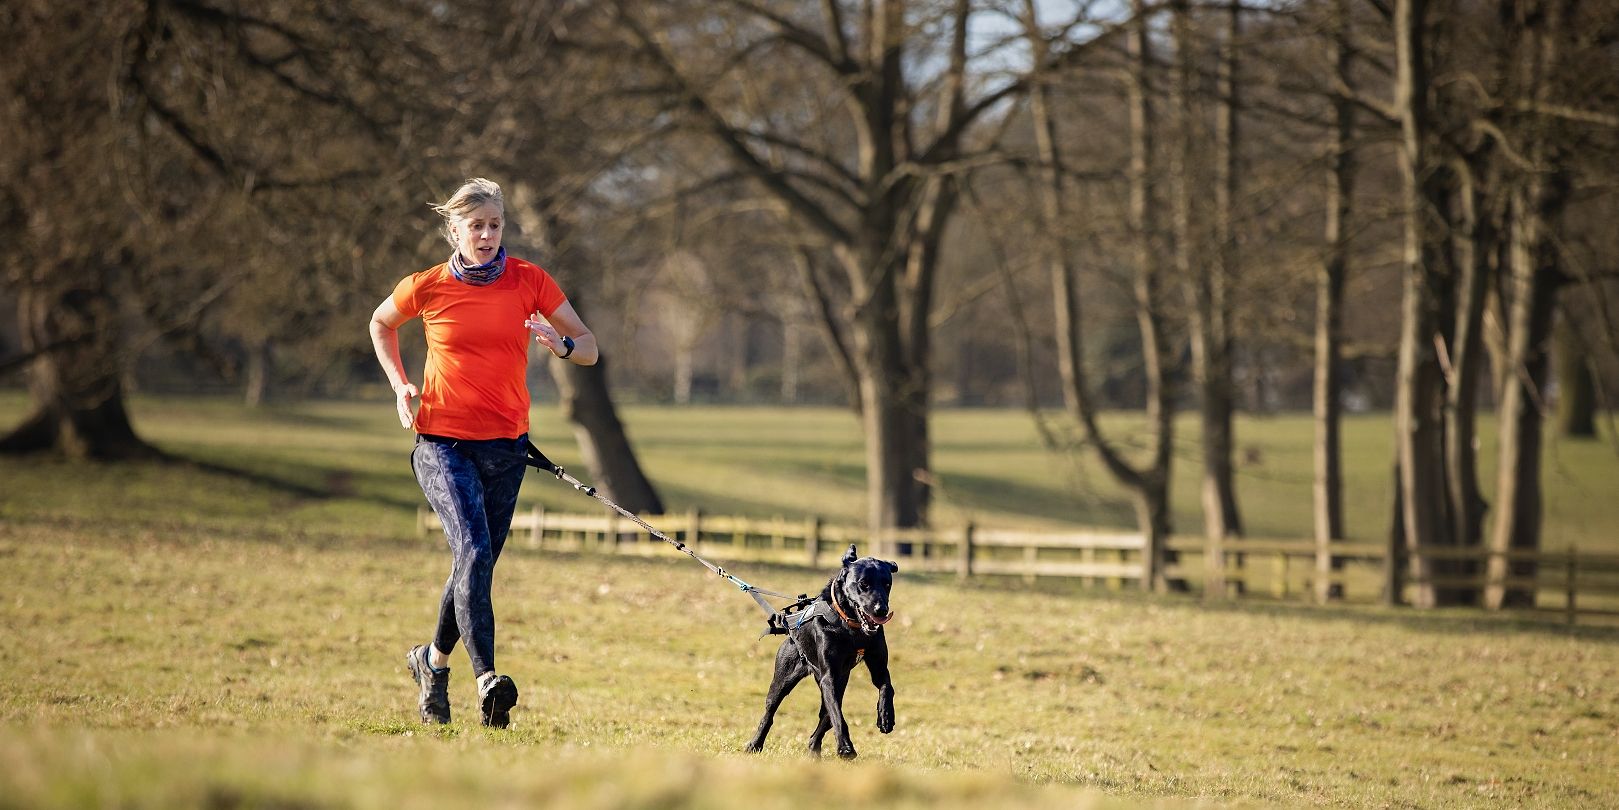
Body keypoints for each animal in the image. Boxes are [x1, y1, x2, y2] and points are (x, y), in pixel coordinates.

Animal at [744, 544, 900, 758]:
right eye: (863, 584)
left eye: (887, 584)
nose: (881, 610)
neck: (850, 627)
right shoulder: (829, 677)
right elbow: (838, 717)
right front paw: (845, 747)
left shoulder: (877, 668)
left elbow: (887, 687)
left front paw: (885, 717)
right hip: (784, 678)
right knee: (770, 712)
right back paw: (755, 744)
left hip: (838, 682)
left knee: (825, 715)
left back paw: (813, 748)